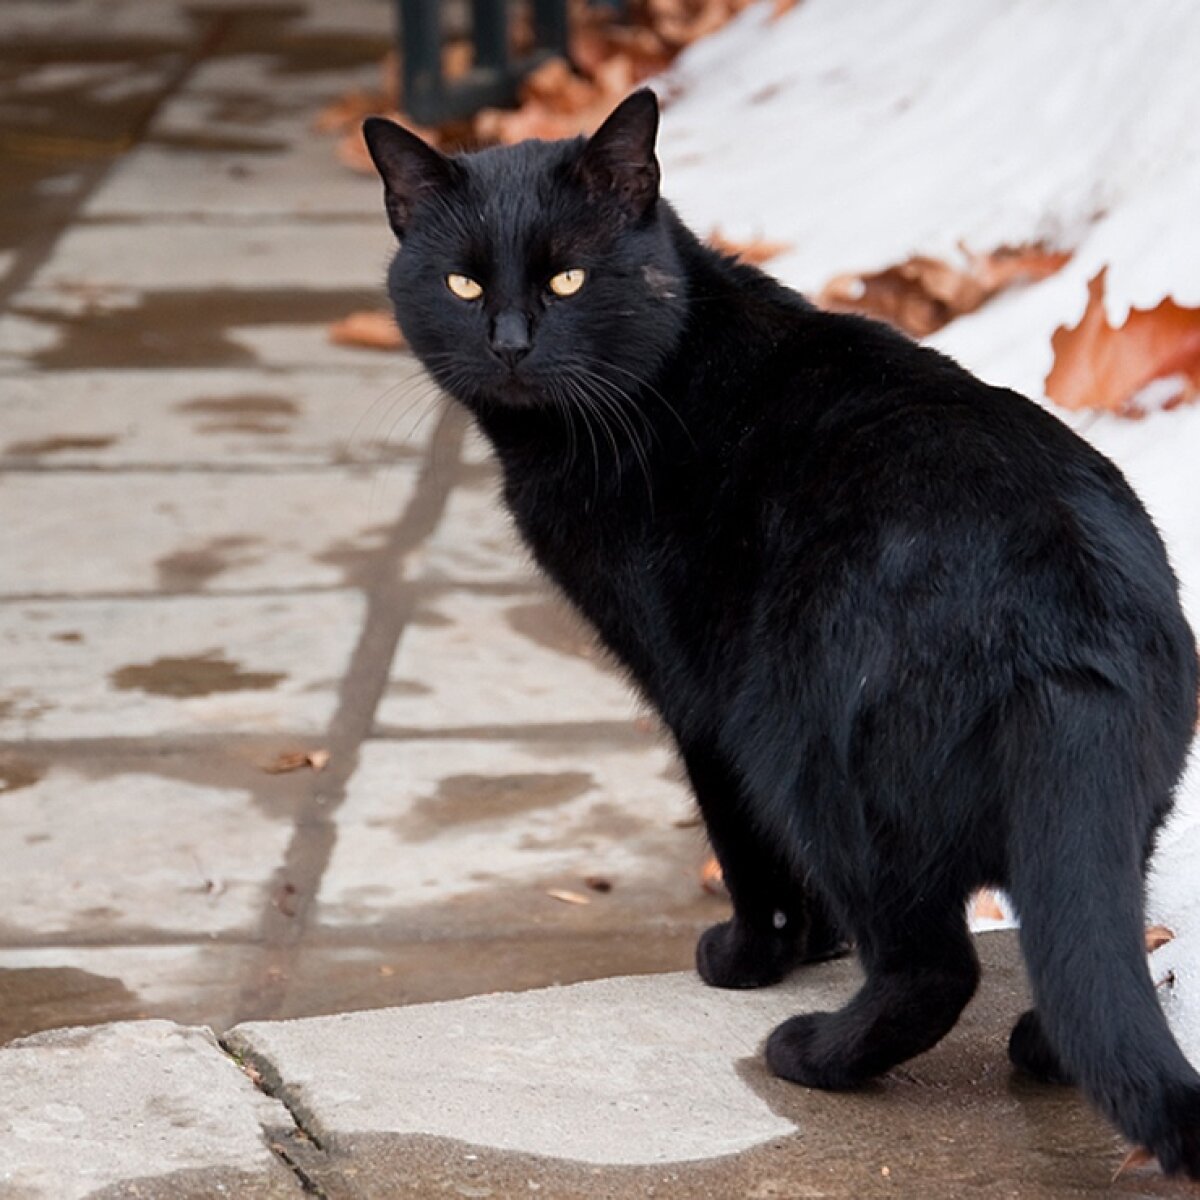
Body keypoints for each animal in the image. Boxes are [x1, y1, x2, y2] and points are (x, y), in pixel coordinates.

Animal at [362, 91, 1200, 1171]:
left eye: (567, 277)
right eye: (462, 284)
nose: (508, 341)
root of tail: (1065, 623)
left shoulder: (698, 697)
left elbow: (744, 845)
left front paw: (755, 956)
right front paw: (813, 946)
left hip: (807, 753)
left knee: (934, 967)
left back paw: (814, 1053)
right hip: (1123, 808)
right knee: (1093, 936)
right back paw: (1036, 1044)